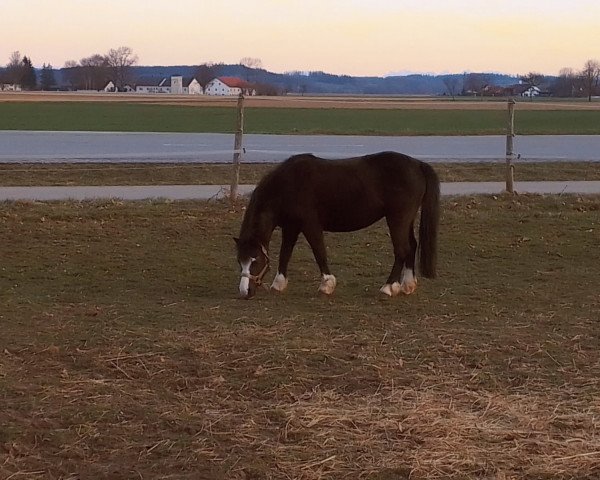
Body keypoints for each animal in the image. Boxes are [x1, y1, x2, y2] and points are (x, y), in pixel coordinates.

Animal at [236, 152, 440, 298]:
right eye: (240, 261)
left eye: (255, 260)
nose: (245, 292)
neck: (288, 184)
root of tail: (417, 164)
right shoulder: (291, 227)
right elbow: (285, 253)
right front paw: (278, 283)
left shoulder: (310, 225)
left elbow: (319, 252)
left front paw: (327, 284)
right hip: (406, 220)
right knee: (411, 246)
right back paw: (407, 285)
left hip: (397, 219)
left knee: (402, 250)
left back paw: (388, 287)